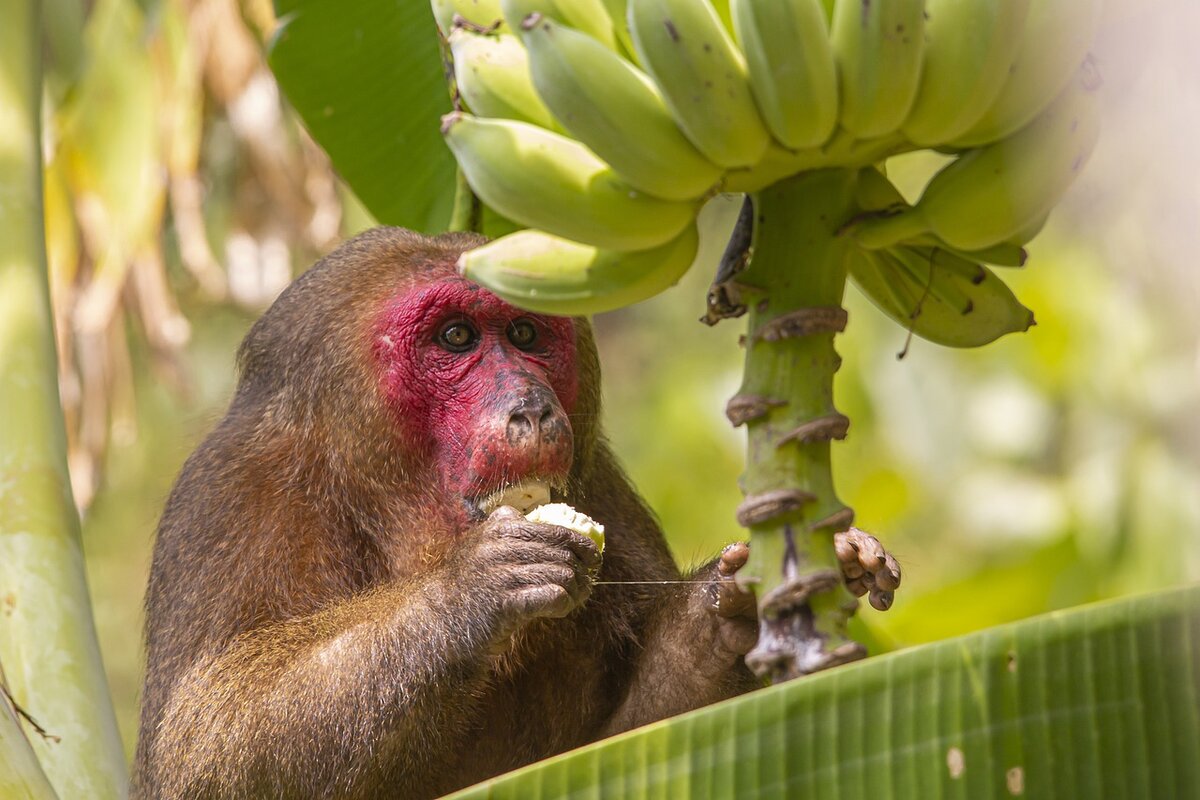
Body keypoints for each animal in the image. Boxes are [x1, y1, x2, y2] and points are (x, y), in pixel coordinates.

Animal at [133, 227, 902, 796]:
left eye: (527, 336)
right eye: (455, 339)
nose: (530, 406)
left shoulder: (600, 488)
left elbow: (632, 745)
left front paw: (733, 605)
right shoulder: (233, 500)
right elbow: (205, 749)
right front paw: (465, 594)